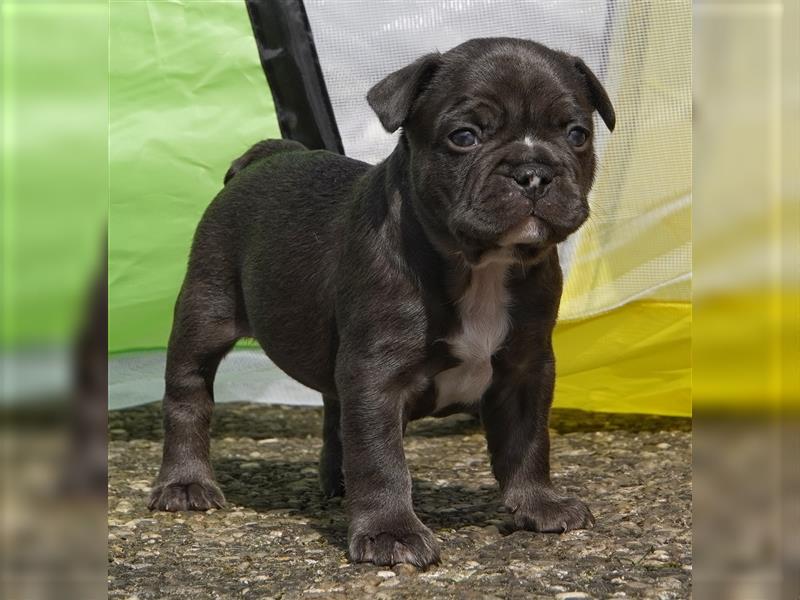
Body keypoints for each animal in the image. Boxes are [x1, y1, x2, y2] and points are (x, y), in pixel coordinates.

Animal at [148, 38, 612, 568]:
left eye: (577, 134)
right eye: (464, 137)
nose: (532, 172)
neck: (481, 267)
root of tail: (266, 156)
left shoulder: (525, 367)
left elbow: (528, 441)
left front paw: (539, 504)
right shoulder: (376, 373)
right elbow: (380, 457)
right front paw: (390, 531)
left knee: (334, 409)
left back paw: (337, 482)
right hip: (205, 312)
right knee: (188, 395)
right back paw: (185, 484)